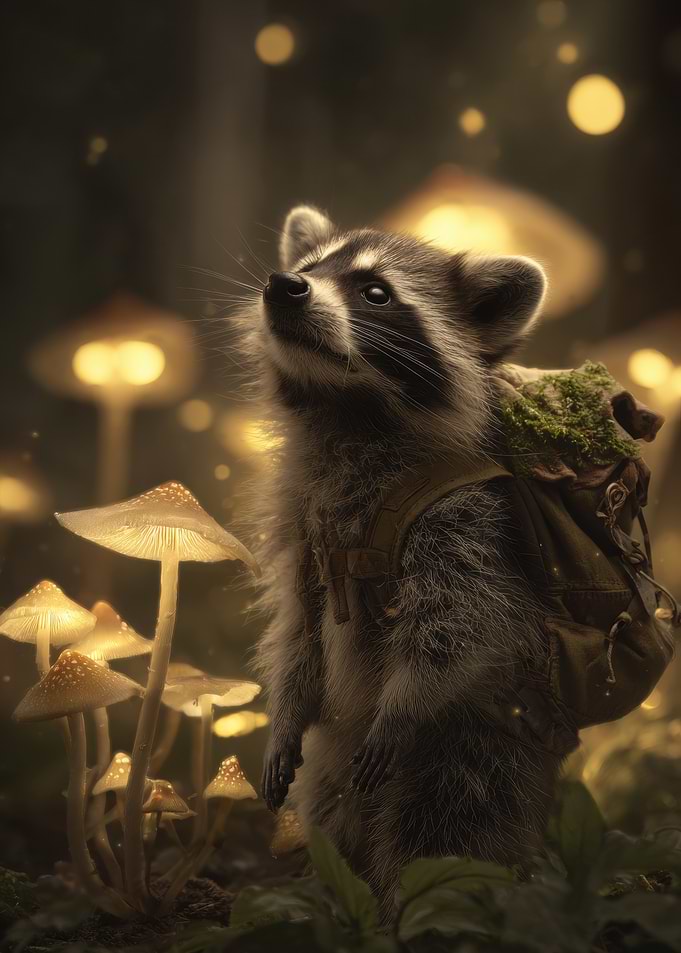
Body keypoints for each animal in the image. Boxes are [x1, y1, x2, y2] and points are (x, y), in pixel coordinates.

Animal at [236, 205, 565, 912]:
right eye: (311, 267)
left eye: (375, 293)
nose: (284, 284)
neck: (347, 406)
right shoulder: (300, 528)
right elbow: (298, 628)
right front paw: (282, 716)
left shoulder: (466, 515)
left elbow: (461, 619)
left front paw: (405, 701)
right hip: (338, 755)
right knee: (333, 810)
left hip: (473, 740)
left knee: (449, 823)